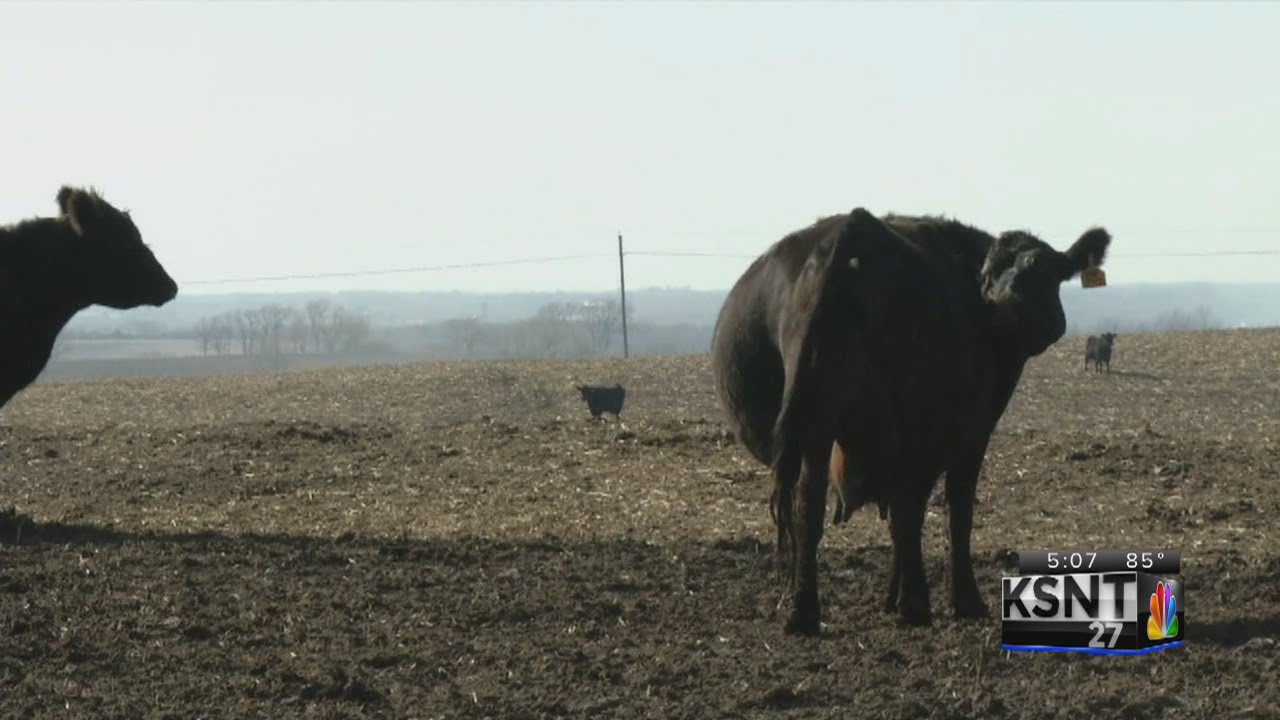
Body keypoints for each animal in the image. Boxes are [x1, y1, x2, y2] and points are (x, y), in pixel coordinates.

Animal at [710, 208, 1111, 636]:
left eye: (1041, 269)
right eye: (988, 274)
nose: (1001, 299)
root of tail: (849, 235)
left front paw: (893, 598)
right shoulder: (969, 436)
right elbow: (954, 511)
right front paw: (960, 600)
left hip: (817, 423)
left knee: (810, 506)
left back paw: (805, 612)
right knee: (905, 510)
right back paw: (914, 605)